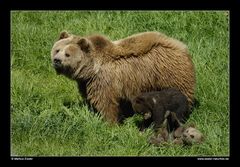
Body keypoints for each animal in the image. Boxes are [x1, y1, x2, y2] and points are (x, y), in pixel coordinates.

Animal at [50, 31, 195, 122]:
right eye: (57, 50)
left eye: (67, 54)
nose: (57, 60)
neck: (91, 69)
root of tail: (181, 46)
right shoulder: (86, 82)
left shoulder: (104, 80)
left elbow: (106, 102)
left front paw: (110, 122)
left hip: (170, 73)